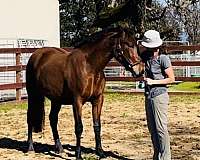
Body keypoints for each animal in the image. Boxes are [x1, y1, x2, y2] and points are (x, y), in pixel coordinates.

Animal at [25, 26, 144, 159]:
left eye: (136, 45)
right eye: (128, 45)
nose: (140, 70)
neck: (90, 67)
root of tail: (36, 55)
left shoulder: (98, 99)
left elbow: (97, 126)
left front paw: (100, 152)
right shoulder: (77, 101)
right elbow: (79, 127)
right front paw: (78, 155)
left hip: (56, 100)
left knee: (53, 119)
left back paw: (59, 148)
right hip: (32, 95)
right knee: (30, 117)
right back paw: (30, 147)